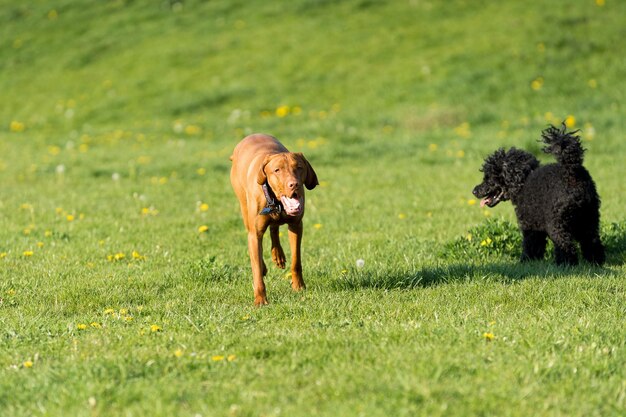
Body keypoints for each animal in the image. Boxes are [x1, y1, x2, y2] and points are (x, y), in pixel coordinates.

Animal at [229, 134, 316, 306]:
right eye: (277, 170)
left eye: (299, 167)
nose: (294, 185)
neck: (276, 203)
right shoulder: (254, 234)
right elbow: (256, 269)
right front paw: (260, 299)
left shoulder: (296, 225)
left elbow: (296, 261)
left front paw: (299, 286)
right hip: (244, 209)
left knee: (274, 229)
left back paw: (278, 255)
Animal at [472, 122, 604, 264]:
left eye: (488, 178)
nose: (474, 191)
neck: (523, 180)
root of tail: (572, 172)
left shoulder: (530, 226)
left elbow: (531, 245)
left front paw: (526, 261)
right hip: (589, 218)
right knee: (592, 241)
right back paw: (595, 262)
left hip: (558, 224)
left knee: (565, 244)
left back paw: (565, 264)